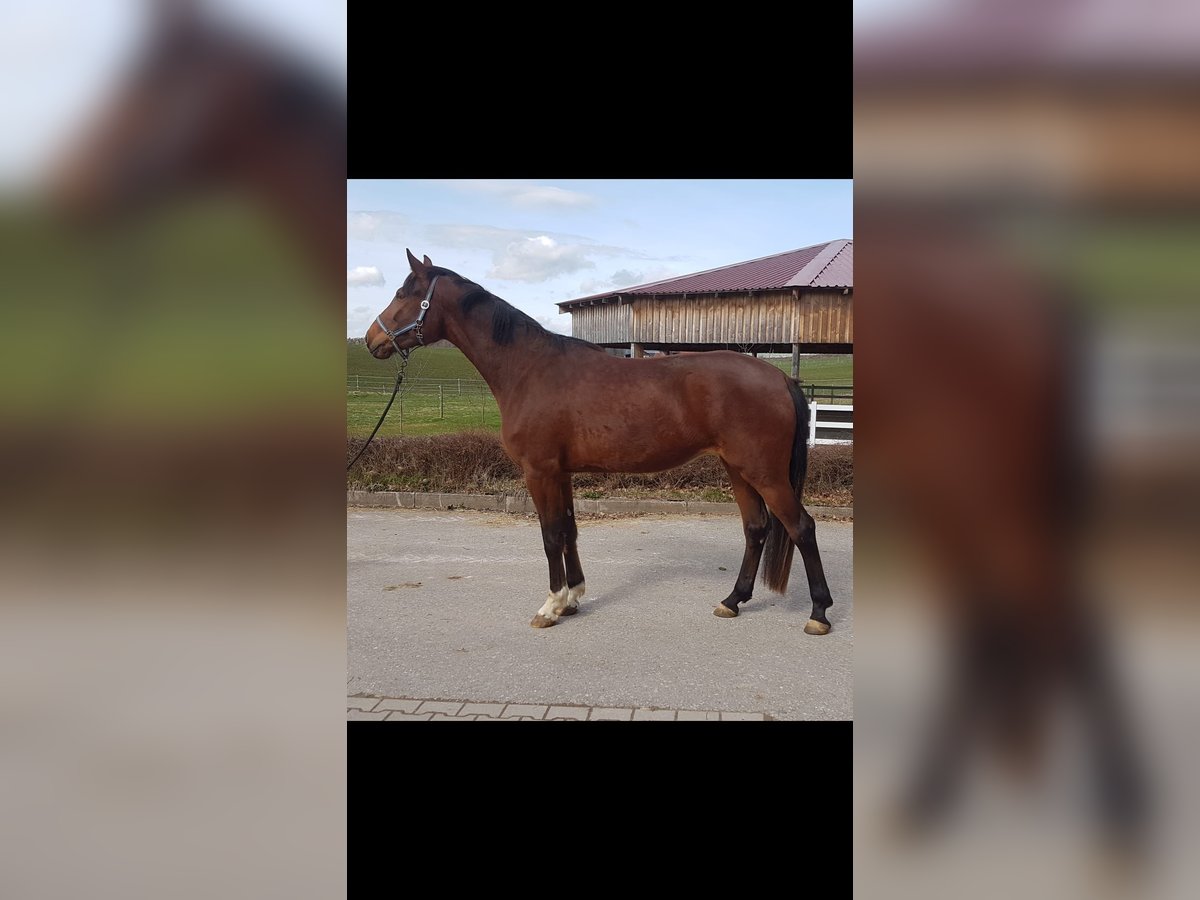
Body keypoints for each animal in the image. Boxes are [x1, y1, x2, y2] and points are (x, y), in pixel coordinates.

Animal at [365, 250, 836, 633]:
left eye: (404, 293)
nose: (372, 340)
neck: (529, 369)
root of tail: (779, 377)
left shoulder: (539, 471)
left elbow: (551, 535)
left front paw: (550, 606)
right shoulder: (562, 473)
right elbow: (570, 530)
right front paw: (573, 598)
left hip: (764, 472)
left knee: (802, 527)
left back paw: (818, 613)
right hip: (738, 469)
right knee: (756, 529)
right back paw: (732, 601)